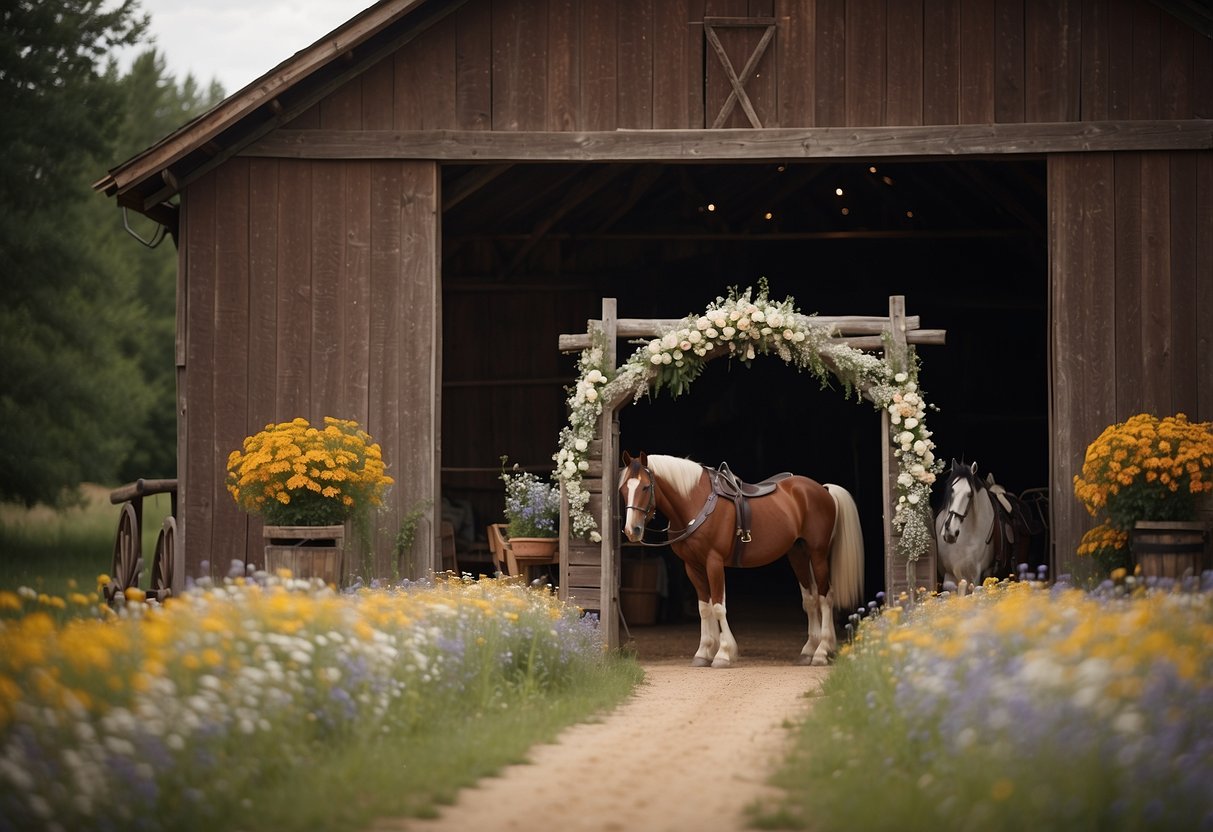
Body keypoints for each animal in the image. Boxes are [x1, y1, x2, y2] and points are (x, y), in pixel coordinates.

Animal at [625, 453, 863, 669]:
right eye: (623, 490)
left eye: (645, 487)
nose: (632, 530)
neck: (695, 501)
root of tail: (823, 489)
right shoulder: (693, 566)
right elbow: (704, 608)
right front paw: (704, 652)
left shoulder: (713, 562)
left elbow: (718, 607)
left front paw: (723, 654)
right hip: (798, 554)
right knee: (811, 599)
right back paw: (809, 651)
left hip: (818, 553)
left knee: (825, 597)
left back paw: (822, 651)